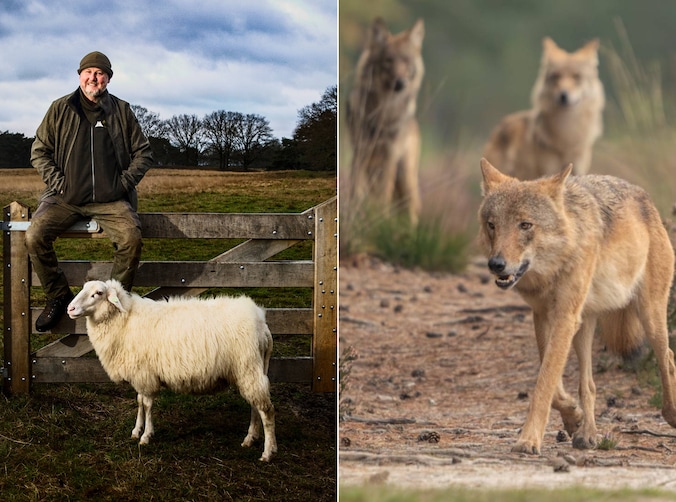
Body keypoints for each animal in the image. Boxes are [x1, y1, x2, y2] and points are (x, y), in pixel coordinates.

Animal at [67, 279, 277, 462]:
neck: (125, 320)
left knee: (267, 410)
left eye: (98, 293)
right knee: (255, 406)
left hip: (248, 368)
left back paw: (268, 452)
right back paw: (250, 439)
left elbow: (147, 405)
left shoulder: (145, 375)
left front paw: (146, 436)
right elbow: (139, 402)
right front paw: (136, 431)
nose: (70, 309)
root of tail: (262, 325)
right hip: (250, 371)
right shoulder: (140, 375)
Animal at [347, 17, 425, 225]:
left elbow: (383, 195)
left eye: (406, 61)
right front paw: (355, 216)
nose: (400, 83)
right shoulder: (360, 151)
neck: (384, 112)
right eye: (388, 61)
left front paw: (380, 220)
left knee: (411, 209)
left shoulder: (390, 155)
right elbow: (356, 190)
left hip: (405, 175)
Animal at [477, 157, 676, 454]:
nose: (496, 264)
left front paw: (528, 440)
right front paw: (572, 416)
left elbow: (544, 382)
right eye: (492, 225)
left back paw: (671, 414)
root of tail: (646, 199)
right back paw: (587, 434)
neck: (553, 268)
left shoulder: (565, 317)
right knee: (589, 384)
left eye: (525, 225)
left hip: (649, 316)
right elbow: (552, 380)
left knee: (668, 359)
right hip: (585, 326)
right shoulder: (543, 315)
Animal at [483, 37, 605, 180]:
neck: (566, 136)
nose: (563, 95)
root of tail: (501, 123)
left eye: (576, 76)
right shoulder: (548, 171)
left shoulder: (577, 170)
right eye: (556, 76)